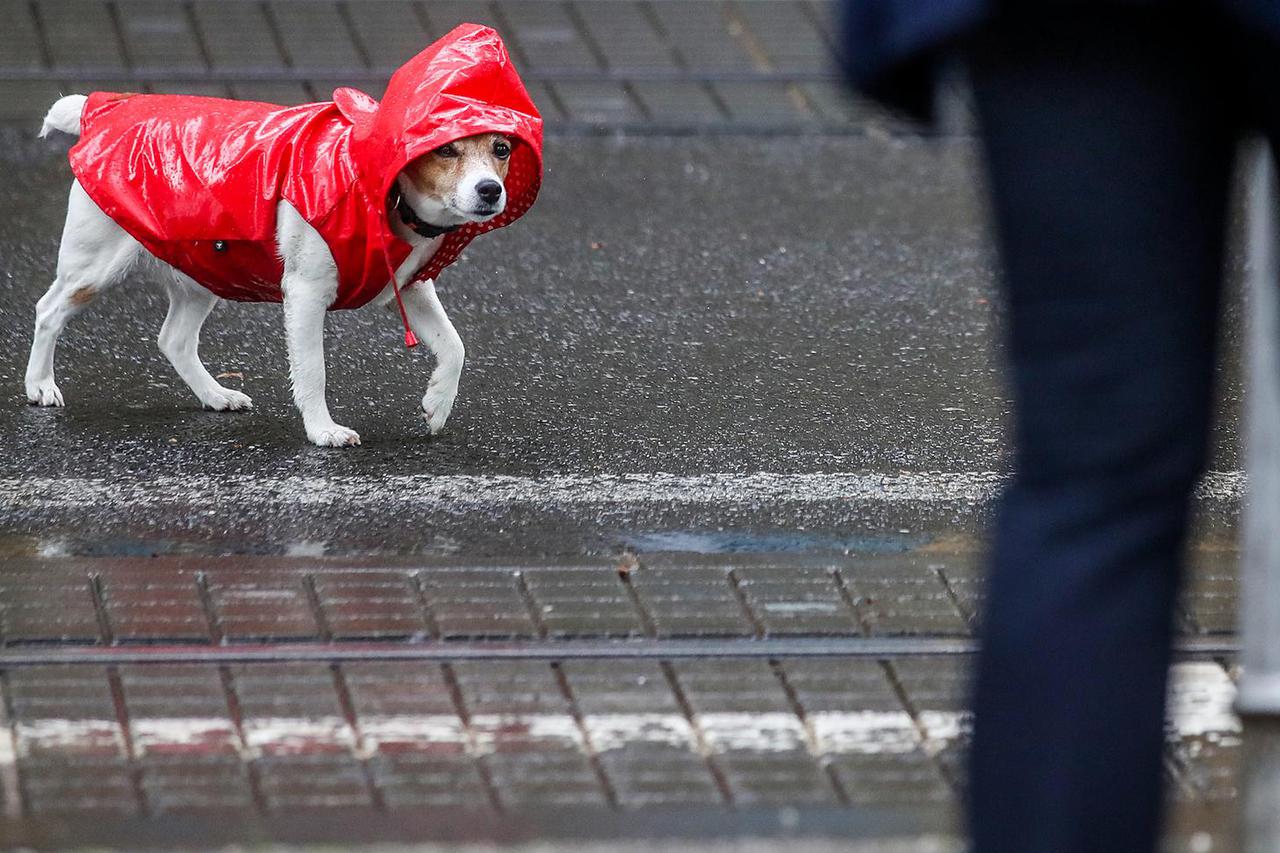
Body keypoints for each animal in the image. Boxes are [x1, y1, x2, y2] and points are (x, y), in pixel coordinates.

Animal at [30, 21, 540, 445]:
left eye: (501, 149)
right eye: (447, 150)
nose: (491, 190)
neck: (380, 190)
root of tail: (98, 110)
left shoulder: (411, 287)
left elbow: (454, 347)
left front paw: (437, 406)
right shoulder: (306, 294)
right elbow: (313, 371)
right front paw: (323, 431)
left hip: (201, 271)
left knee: (173, 339)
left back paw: (216, 395)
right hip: (94, 268)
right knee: (48, 311)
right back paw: (40, 385)